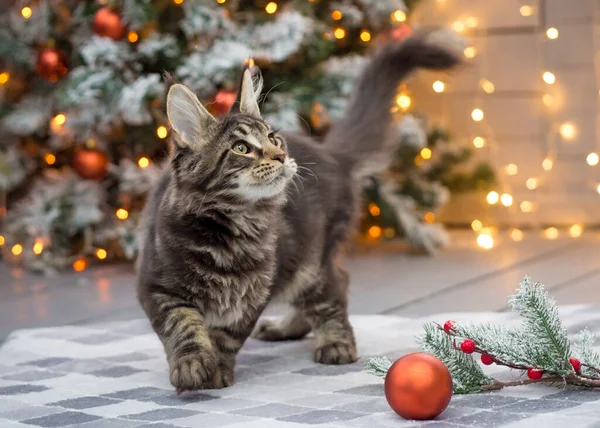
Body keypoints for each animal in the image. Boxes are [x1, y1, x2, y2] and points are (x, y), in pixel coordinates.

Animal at [137, 35, 460, 392]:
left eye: (273, 139)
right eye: (241, 148)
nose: (280, 156)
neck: (233, 229)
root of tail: (330, 153)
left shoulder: (254, 295)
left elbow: (226, 337)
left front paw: (217, 367)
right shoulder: (157, 286)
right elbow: (183, 325)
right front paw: (193, 364)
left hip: (308, 259)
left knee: (334, 286)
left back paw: (335, 343)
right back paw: (285, 329)